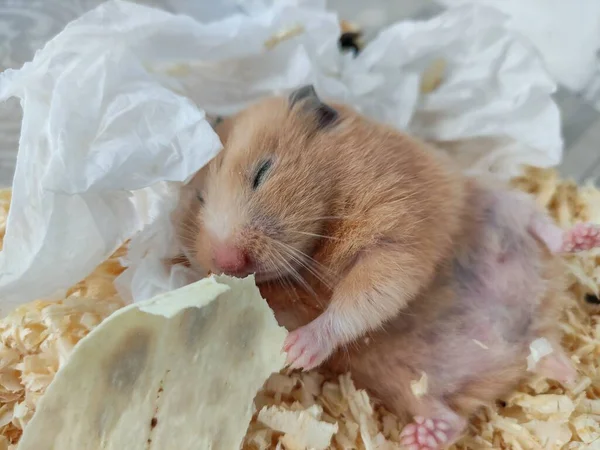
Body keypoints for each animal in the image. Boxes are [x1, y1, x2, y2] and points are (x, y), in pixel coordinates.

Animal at [173, 86, 600, 448]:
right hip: (408, 382)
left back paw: (582, 237)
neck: (318, 240)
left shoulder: (395, 241)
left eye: (262, 172)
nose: (228, 261)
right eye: (199, 200)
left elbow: (359, 300)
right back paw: (421, 436)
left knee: (543, 229)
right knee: (454, 417)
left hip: (502, 201)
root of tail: (523, 339)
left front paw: (295, 350)